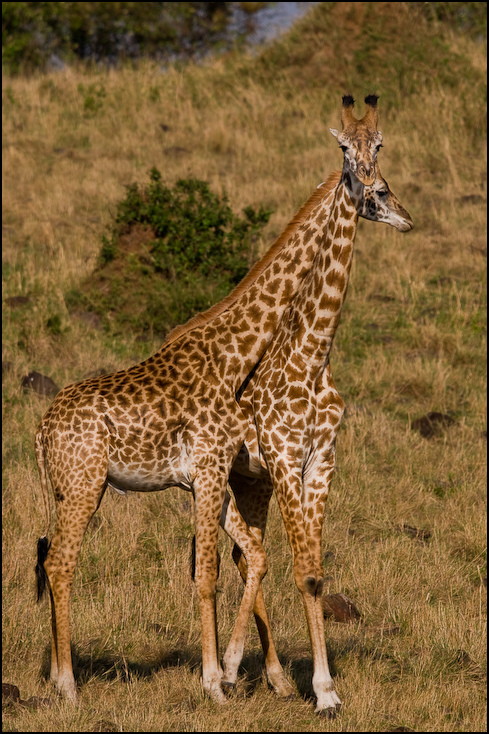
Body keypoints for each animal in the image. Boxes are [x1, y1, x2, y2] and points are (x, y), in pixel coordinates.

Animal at [33, 96, 386, 708]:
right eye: (348, 152)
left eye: (382, 150)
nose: (381, 196)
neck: (238, 350)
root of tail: (41, 428)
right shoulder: (232, 465)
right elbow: (215, 572)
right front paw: (219, 681)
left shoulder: (236, 471)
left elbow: (239, 565)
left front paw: (234, 673)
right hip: (86, 485)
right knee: (60, 562)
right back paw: (69, 685)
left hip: (92, 487)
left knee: (246, 556)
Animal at [223, 105, 414, 712]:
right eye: (348, 157)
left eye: (382, 151)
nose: (404, 217)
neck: (311, 358)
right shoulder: (286, 461)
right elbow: (304, 573)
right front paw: (324, 691)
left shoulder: (320, 462)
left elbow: (315, 575)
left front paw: (321, 686)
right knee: (235, 555)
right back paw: (235, 671)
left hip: (249, 479)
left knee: (246, 557)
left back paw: (265, 675)